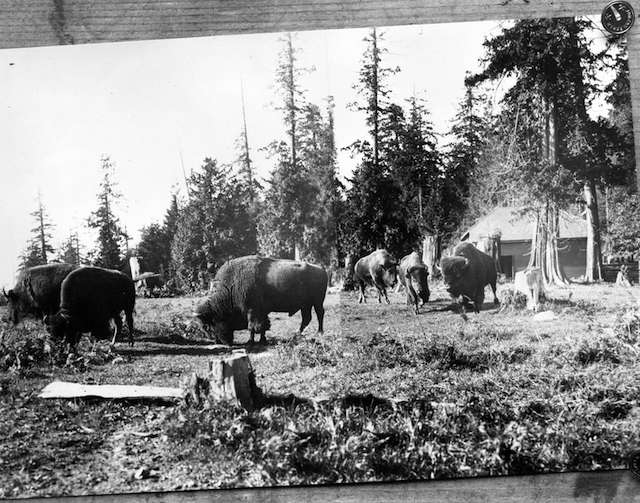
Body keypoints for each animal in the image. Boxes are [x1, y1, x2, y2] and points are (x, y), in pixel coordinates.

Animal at [192, 256, 328, 346]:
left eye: (208, 326)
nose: (218, 341)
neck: (230, 288)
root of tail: (321, 269)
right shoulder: (261, 312)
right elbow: (263, 326)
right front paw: (262, 340)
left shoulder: (252, 311)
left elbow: (252, 327)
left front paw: (250, 341)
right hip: (306, 305)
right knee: (307, 318)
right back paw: (297, 334)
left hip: (317, 302)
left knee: (320, 314)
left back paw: (319, 332)